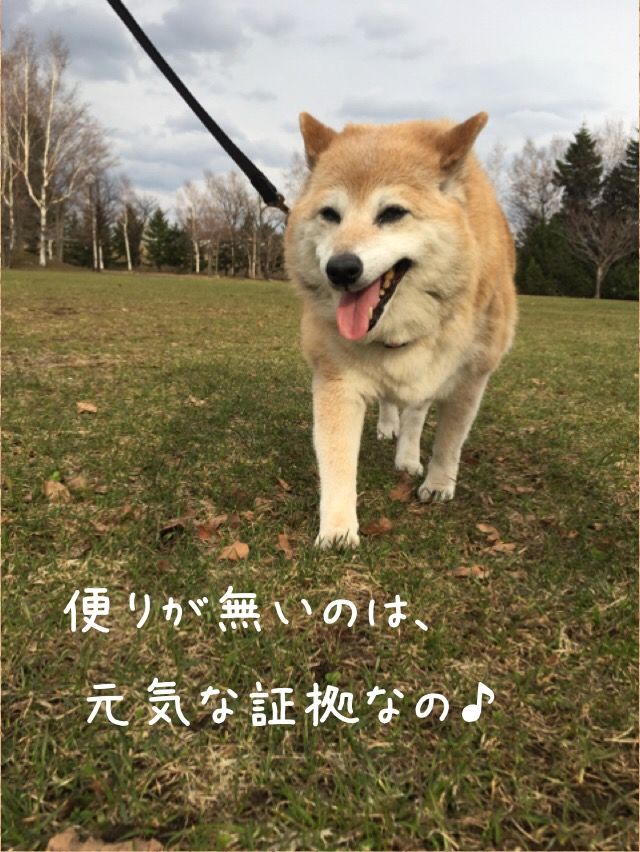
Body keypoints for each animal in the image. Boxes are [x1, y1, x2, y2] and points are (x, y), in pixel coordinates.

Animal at [284, 111, 516, 544]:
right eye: (330, 214)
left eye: (392, 213)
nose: (341, 268)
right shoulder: (335, 378)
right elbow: (337, 457)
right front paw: (337, 529)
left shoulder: (471, 377)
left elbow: (449, 440)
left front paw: (439, 483)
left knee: (416, 411)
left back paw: (407, 456)